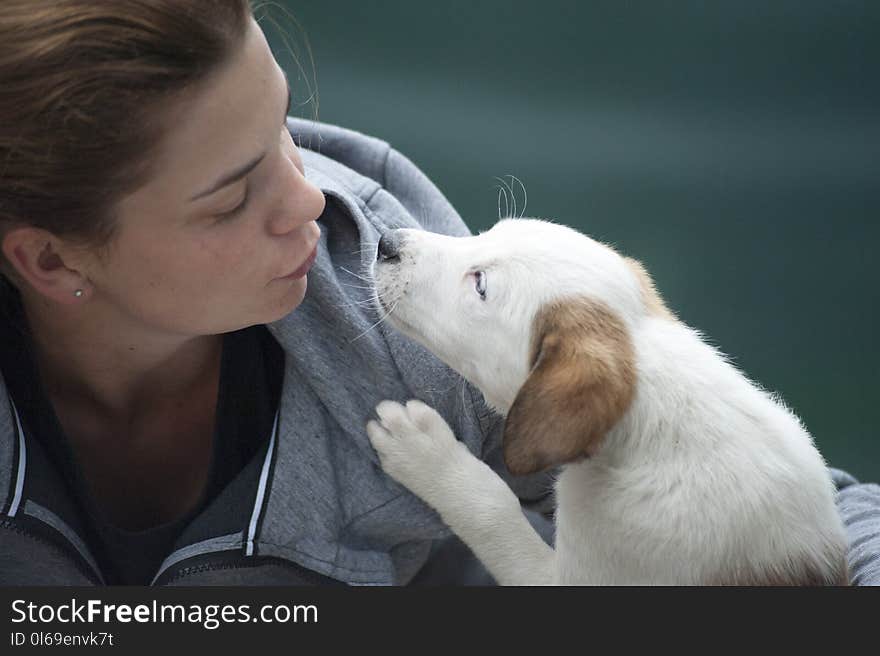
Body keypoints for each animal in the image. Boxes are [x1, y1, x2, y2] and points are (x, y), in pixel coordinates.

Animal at [364, 220, 844, 584]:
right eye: (487, 232)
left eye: (480, 284)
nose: (386, 243)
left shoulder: (566, 578)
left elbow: (491, 507)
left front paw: (424, 451)